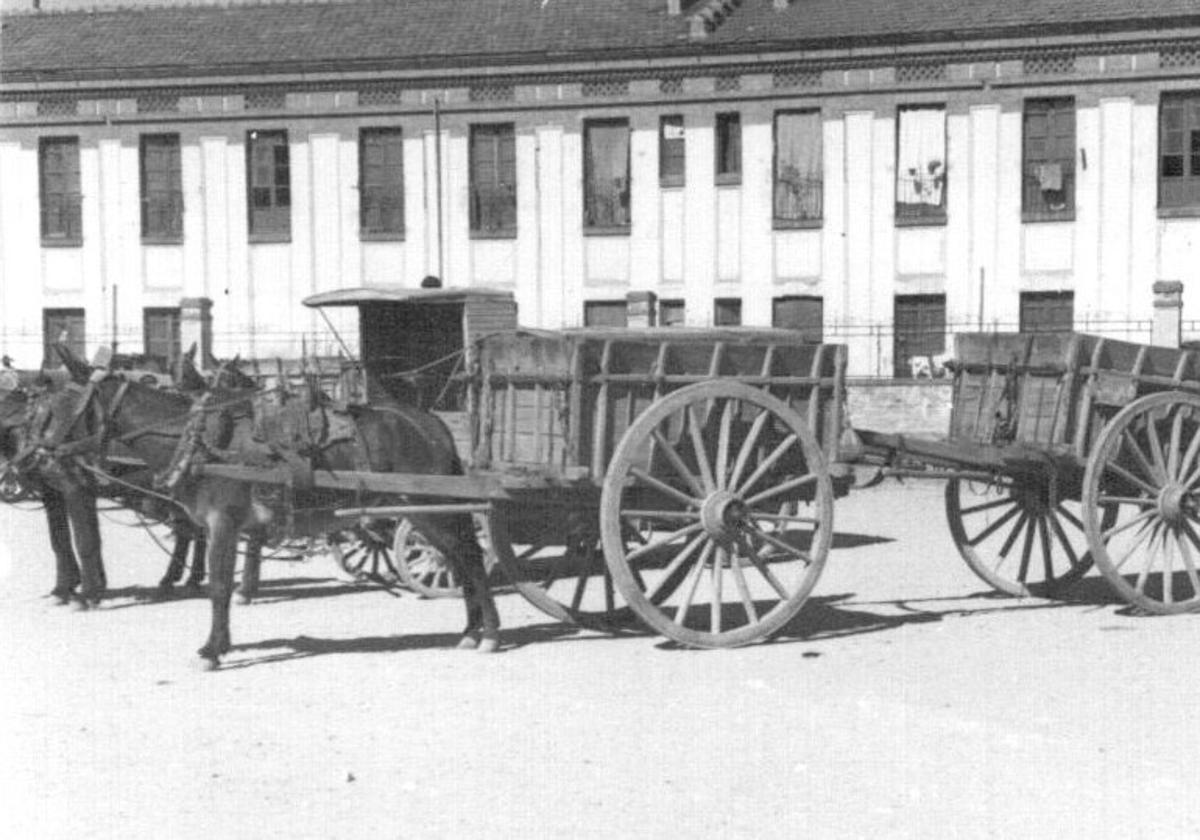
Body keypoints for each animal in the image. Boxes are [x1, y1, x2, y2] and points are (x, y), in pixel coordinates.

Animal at [46, 355, 496, 667]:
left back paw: (488, 631)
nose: (46, 452)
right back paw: (471, 629)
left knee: (470, 557)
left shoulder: (223, 523)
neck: (198, 441)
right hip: (424, 512)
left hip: (432, 511)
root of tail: (433, 425)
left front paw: (212, 649)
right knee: (460, 559)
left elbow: (219, 587)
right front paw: (223, 642)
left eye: (67, 408)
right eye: (46, 407)